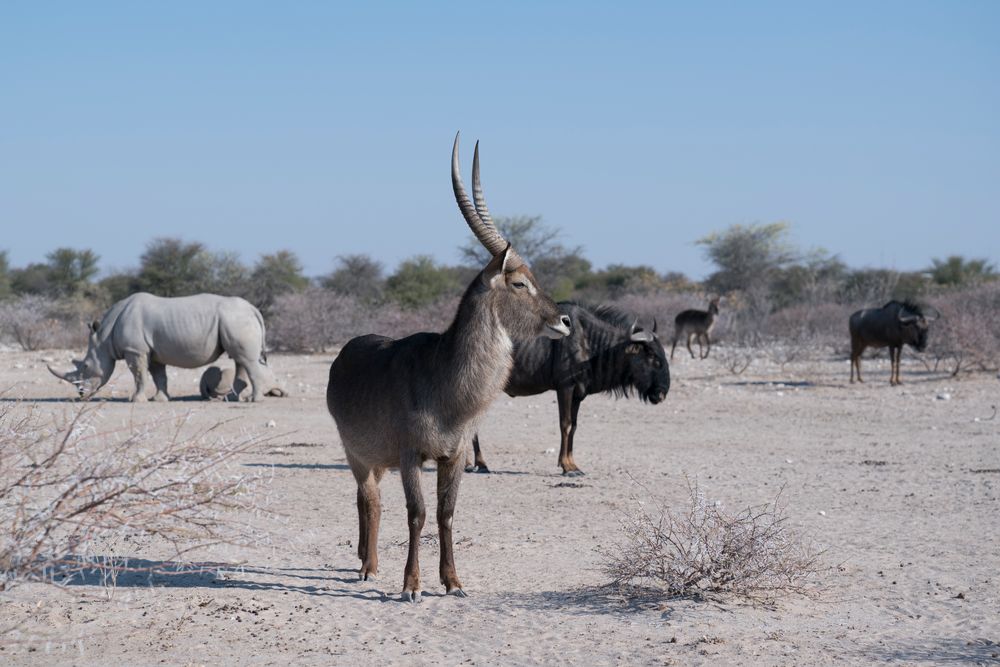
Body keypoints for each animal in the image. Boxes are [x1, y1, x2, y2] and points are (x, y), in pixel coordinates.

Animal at [324, 133, 568, 604]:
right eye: (519, 282)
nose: (564, 320)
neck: (445, 381)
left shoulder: (453, 456)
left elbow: (447, 513)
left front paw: (453, 581)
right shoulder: (410, 455)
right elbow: (417, 514)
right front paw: (412, 585)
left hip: (375, 459)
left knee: (368, 500)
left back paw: (368, 560)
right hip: (357, 453)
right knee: (369, 499)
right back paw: (368, 567)